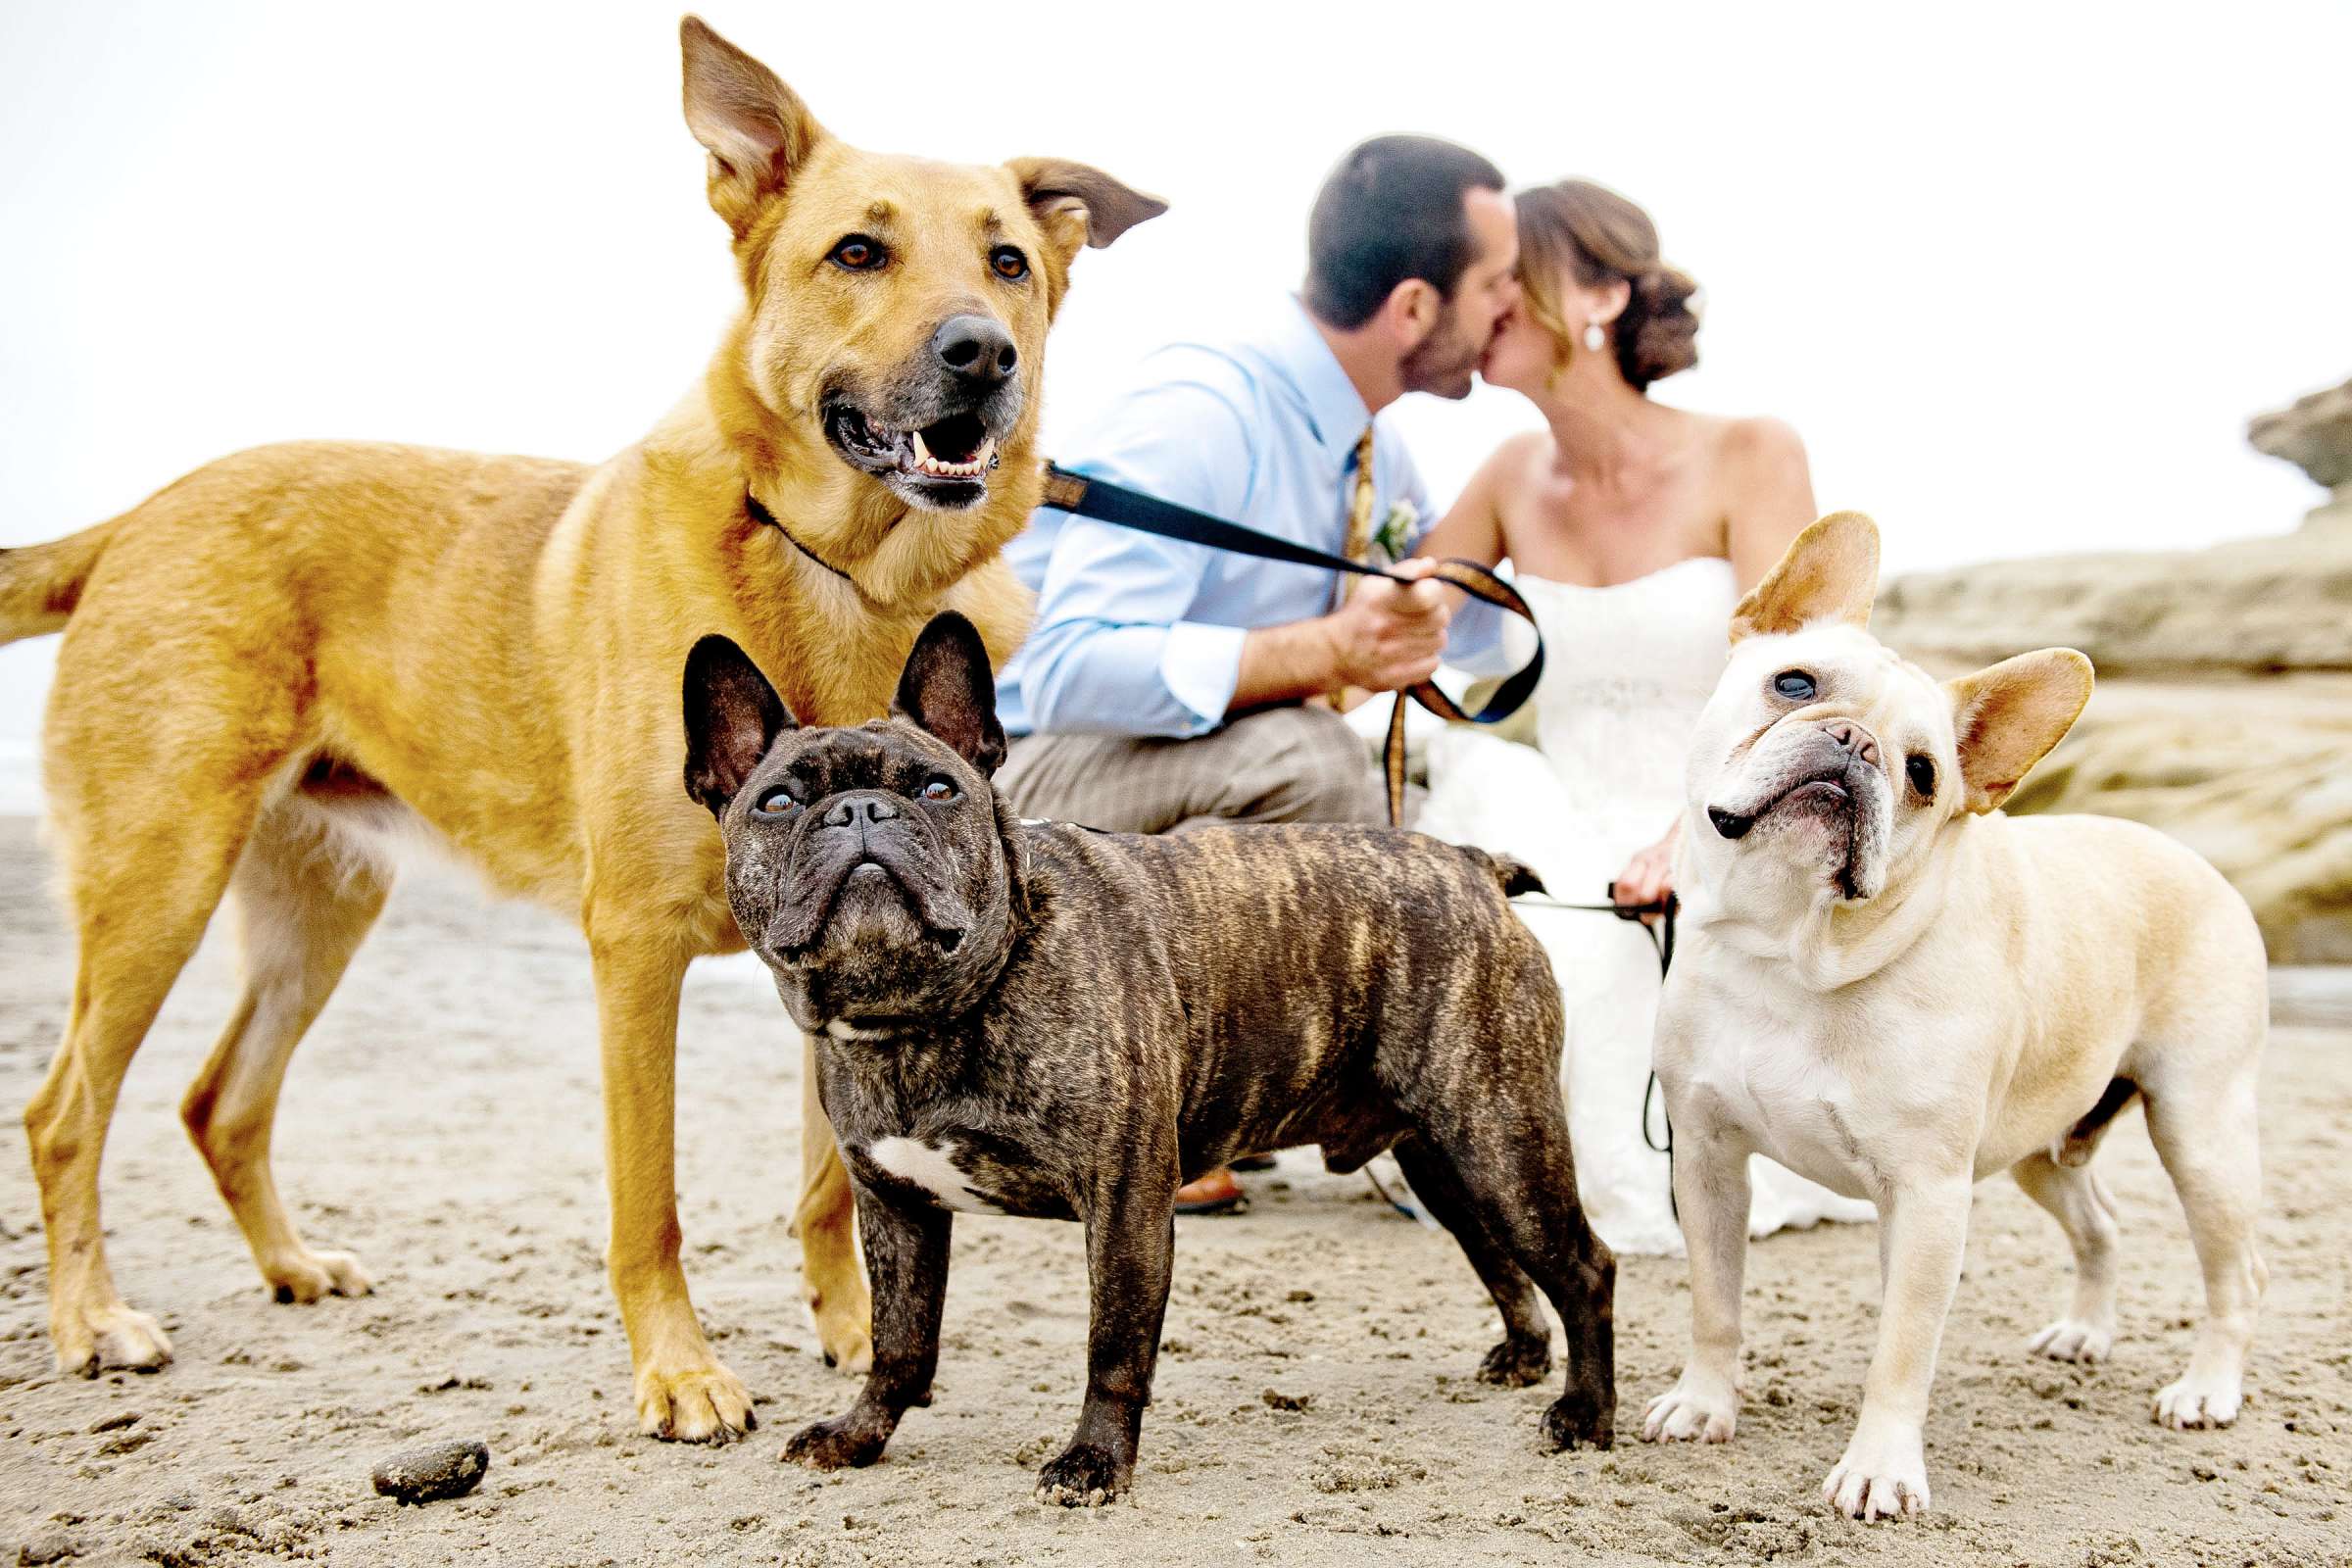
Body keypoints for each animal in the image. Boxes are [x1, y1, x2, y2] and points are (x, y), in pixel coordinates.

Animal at [4, 18, 1161, 1439]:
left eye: (1009, 263)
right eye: (858, 253)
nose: (982, 353)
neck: (844, 578)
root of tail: (144, 508)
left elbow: (831, 1186)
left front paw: (850, 1335)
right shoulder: (636, 951)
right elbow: (645, 1200)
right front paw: (680, 1371)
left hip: (319, 908)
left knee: (220, 1102)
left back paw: (290, 1265)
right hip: (158, 883)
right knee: (62, 1111)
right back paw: (90, 1319)